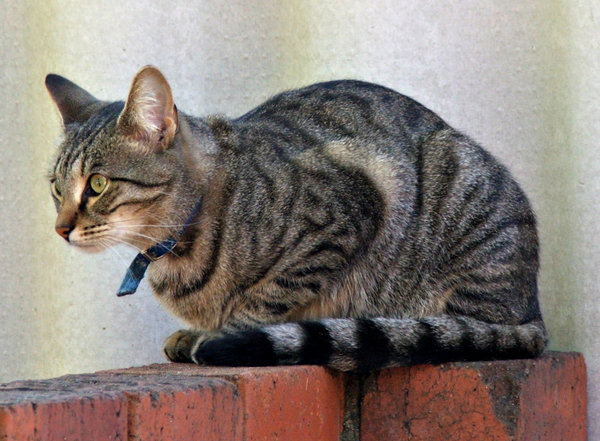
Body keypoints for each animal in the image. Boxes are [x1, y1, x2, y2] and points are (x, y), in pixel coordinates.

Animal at [44, 65, 548, 372]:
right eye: (56, 187)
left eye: (97, 184)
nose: (60, 229)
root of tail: (534, 306)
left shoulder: (342, 214)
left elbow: (267, 295)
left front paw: (222, 333)